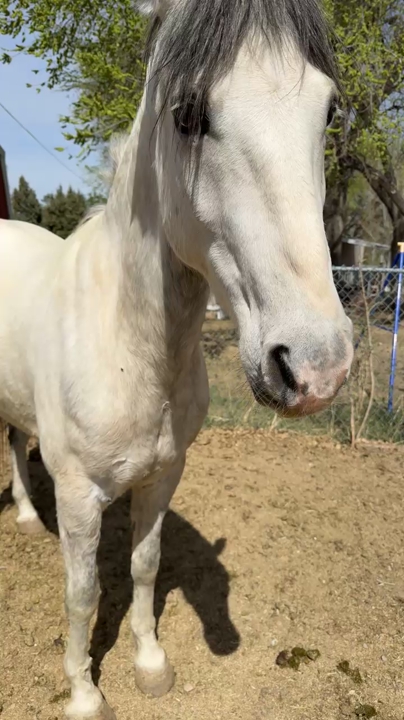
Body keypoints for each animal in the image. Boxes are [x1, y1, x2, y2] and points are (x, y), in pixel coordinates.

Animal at [0, 0, 353, 717]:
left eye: (329, 110)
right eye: (186, 113)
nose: (316, 367)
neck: (129, 346)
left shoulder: (163, 475)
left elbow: (144, 565)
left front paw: (150, 664)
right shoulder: (79, 497)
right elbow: (82, 595)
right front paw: (85, 693)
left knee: (16, 442)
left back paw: (23, 516)